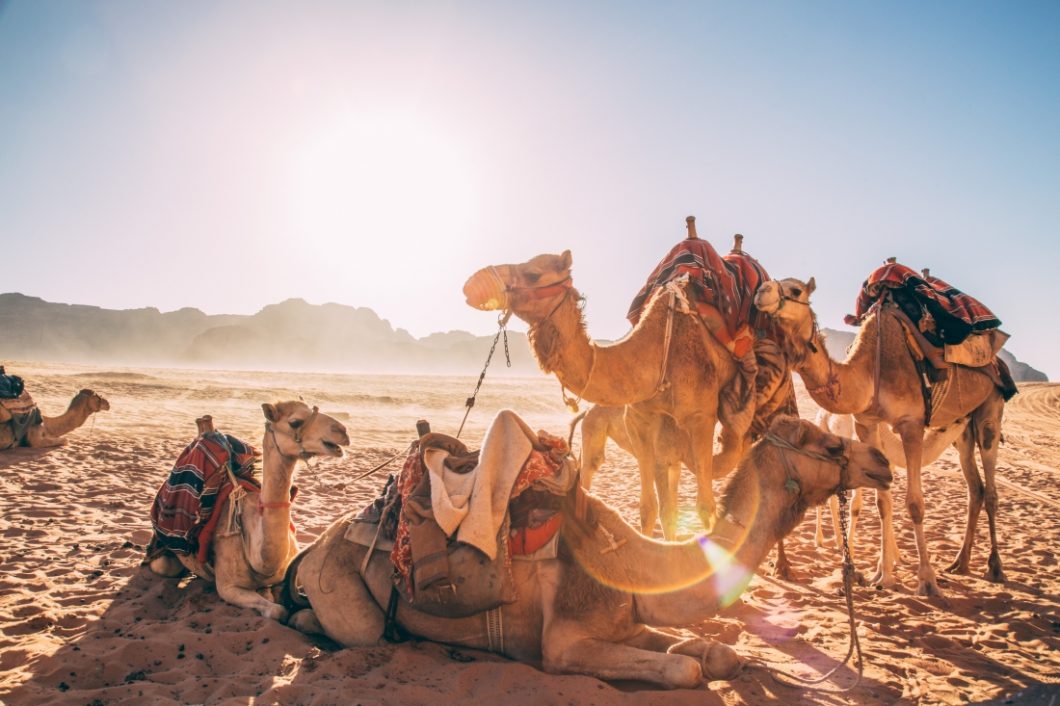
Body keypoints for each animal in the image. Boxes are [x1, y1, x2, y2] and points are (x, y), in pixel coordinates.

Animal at [284, 415, 894, 682]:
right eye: (830, 444)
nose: (883, 462)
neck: (631, 562)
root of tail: (316, 545)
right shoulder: (565, 643)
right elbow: (684, 672)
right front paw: (684, 657)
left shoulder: (624, 624)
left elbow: (717, 654)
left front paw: (692, 646)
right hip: (342, 586)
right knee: (345, 627)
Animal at [466, 250, 754, 536]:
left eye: (533, 274)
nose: (472, 285)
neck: (659, 351)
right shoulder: (642, 425)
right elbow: (653, 510)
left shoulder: (700, 419)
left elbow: (704, 509)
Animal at [754, 275, 1009, 593]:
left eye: (796, 290)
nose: (761, 291)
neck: (869, 370)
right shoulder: (867, 423)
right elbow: (882, 502)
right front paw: (882, 575)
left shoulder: (911, 423)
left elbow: (914, 503)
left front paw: (926, 579)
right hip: (963, 427)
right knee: (975, 489)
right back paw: (959, 563)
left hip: (990, 410)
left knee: (991, 489)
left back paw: (995, 567)